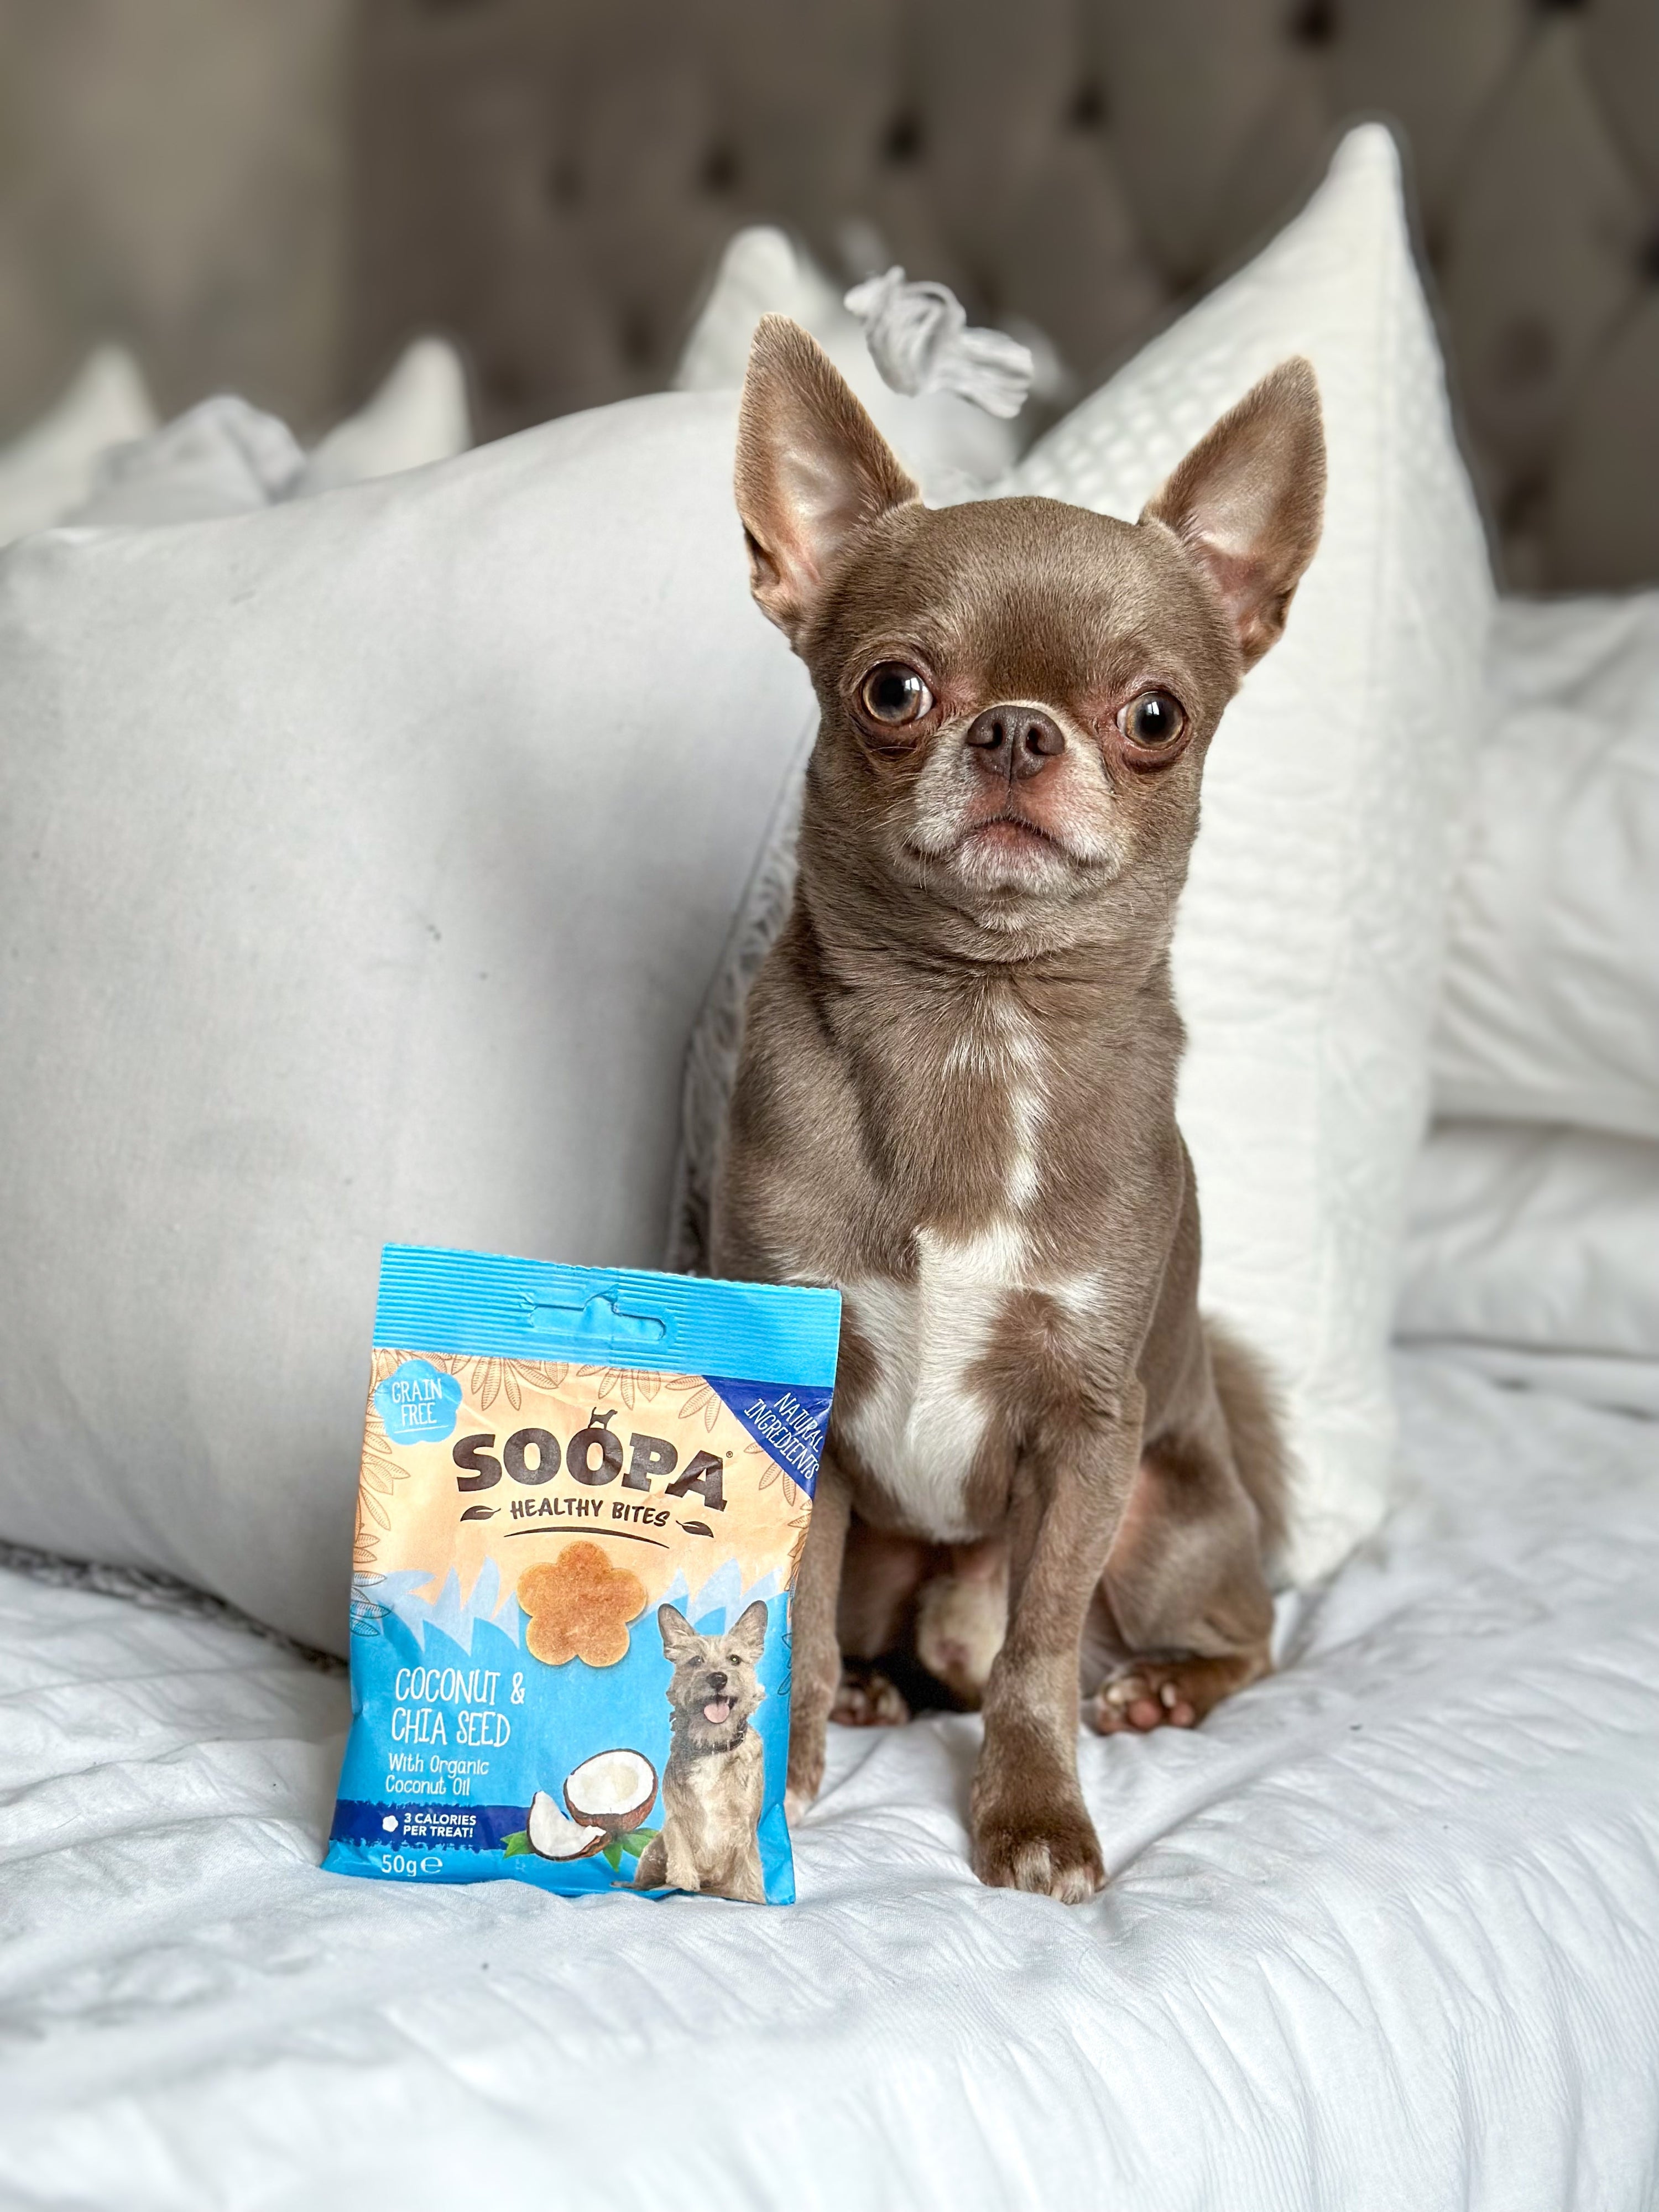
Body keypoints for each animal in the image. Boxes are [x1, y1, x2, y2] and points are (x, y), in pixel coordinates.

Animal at [633, 1610, 770, 1902]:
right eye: (696, 1661)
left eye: (735, 1659)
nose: (718, 1678)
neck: (712, 1745)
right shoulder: (676, 1823)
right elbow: (682, 1869)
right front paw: (681, 1886)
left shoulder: (745, 1830)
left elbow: (749, 1877)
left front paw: (754, 1900)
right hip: (654, 1850)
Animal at [708, 312, 1336, 1902]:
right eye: (893, 691)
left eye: (1156, 717)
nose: (1013, 732)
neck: (976, 1029)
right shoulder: (805, 1399)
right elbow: (796, 1602)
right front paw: (784, 1770)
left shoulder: (1086, 1433)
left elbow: (1040, 1649)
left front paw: (1037, 1813)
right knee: (899, 1633)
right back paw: (878, 1690)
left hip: (1164, 1519)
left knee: (1237, 1635)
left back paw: (1166, 1687)